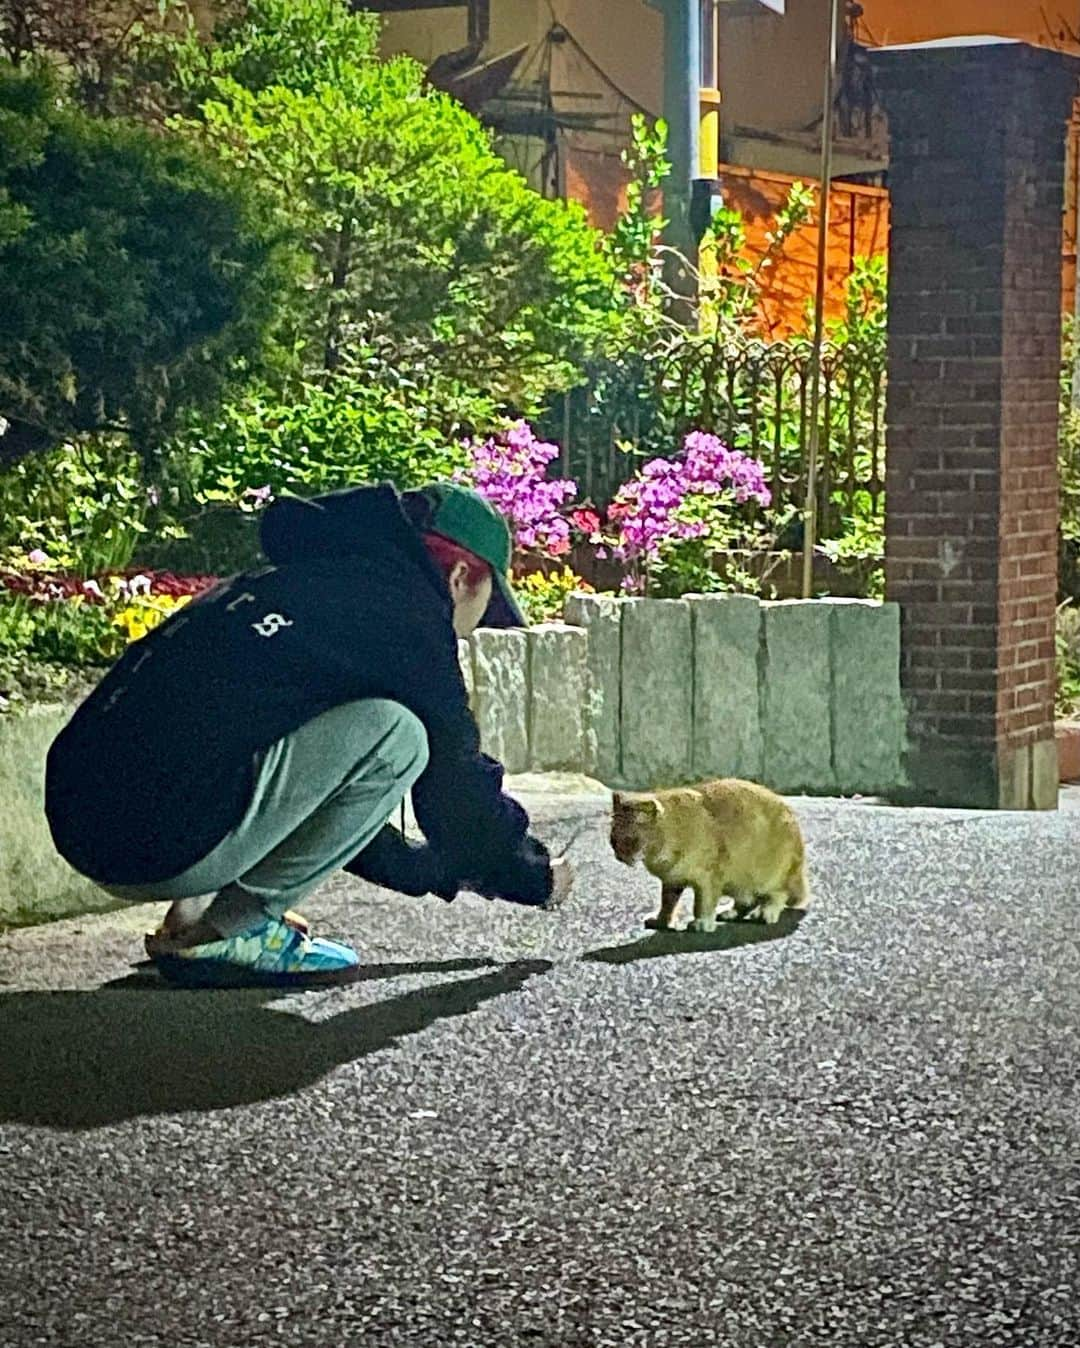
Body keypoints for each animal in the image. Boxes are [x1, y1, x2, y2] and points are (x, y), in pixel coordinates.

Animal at [612, 776, 803, 932]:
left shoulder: (709, 878)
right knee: (747, 901)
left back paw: (766, 912)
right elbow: (667, 904)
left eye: (630, 840)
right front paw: (661, 921)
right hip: (741, 883)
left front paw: (701, 923)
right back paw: (729, 912)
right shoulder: (672, 880)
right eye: (613, 840)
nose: (619, 856)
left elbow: (702, 904)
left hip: (770, 876)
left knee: (779, 894)